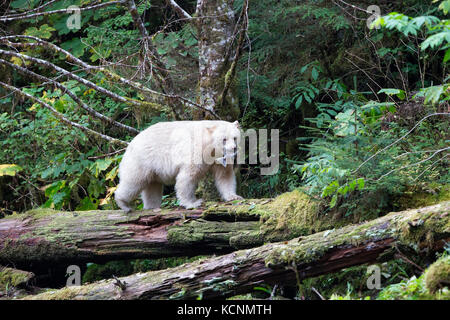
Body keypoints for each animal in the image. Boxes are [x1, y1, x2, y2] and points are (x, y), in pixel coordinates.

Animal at [114, 120, 244, 212]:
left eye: (235, 138)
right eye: (224, 139)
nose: (234, 149)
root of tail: (130, 144)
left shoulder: (219, 158)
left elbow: (224, 175)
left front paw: (234, 197)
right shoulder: (195, 151)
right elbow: (187, 178)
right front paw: (192, 203)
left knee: (152, 187)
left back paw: (152, 206)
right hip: (142, 160)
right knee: (134, 181)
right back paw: (124, 204)